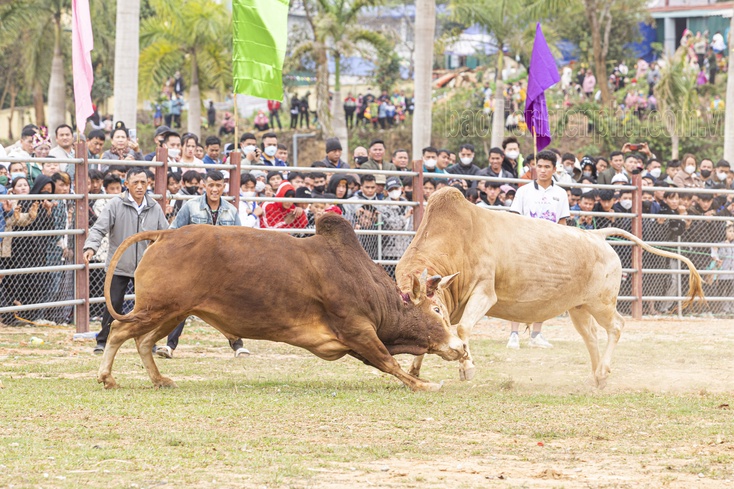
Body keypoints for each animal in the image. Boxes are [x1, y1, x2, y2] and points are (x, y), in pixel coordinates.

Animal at [96, 215, 466, 390]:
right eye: (436, 310)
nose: (461, 347)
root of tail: (166, 234)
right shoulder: (358, 331)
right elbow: (390, 363)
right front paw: (427, 384)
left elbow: (387, 363)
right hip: (156, 308)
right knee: (118, 332)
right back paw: (107, 377)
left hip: (173, 313)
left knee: (143, 342)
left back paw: (160, 380)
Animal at [396, 185, 708, 386]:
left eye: (437, 309)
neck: (456, 242)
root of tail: (597, 235)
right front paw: (415, 369)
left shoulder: (484, 293)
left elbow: (461, 330)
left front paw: (467, 368)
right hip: (579, 308)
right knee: (591, 336)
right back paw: (596, 376)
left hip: (602, 303)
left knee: (616, 327)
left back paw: (603, 371)